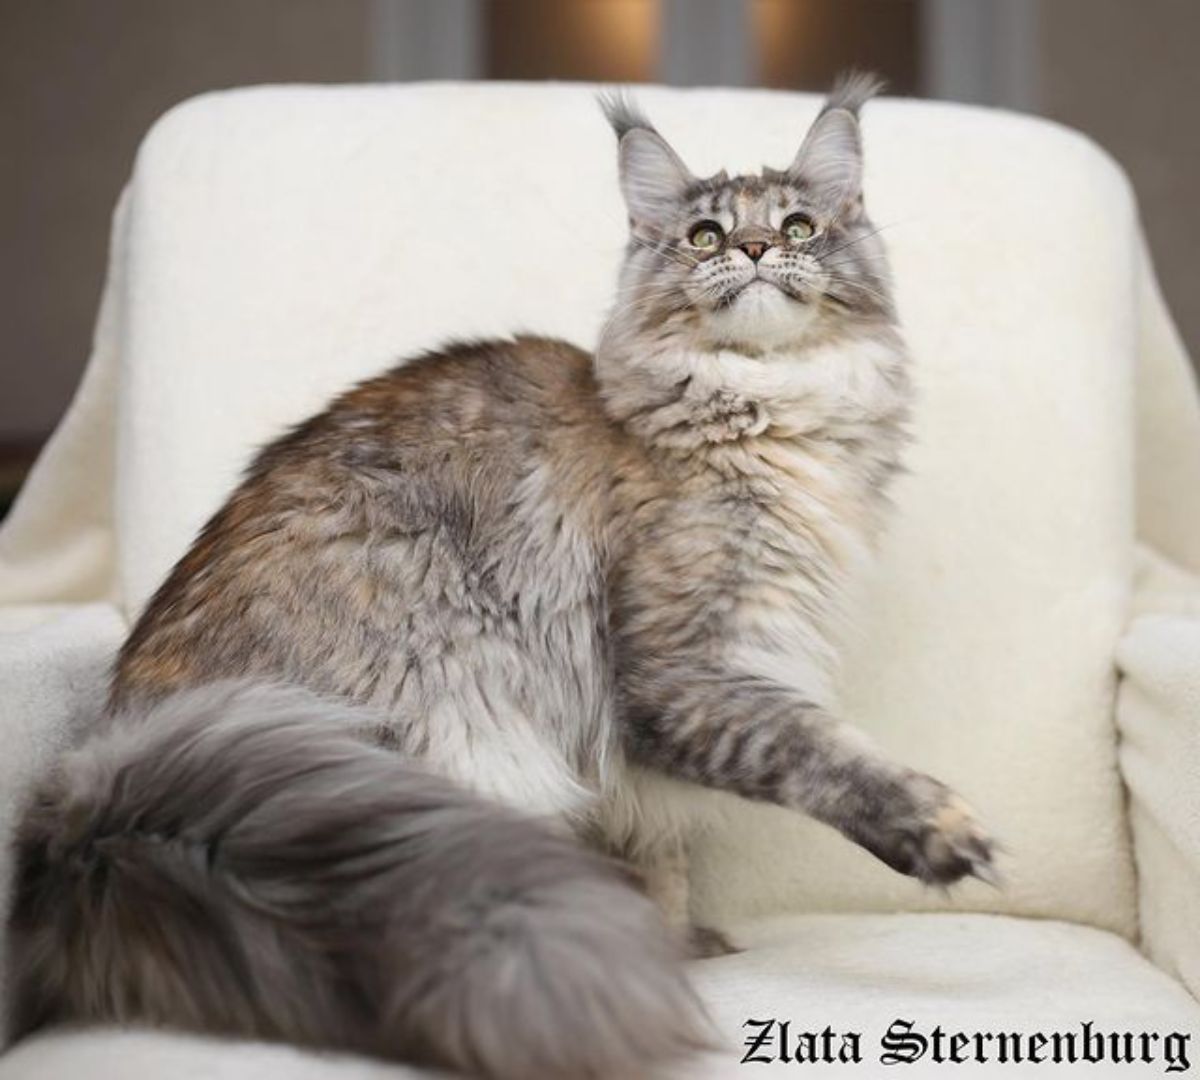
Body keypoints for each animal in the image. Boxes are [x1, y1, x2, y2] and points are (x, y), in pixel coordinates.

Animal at [9, 75, 993, 1080]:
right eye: (705, 237)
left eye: (797, 226)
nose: (755, 250)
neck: (769, 414)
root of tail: (107, 791)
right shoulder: (680, 675)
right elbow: (814, 753)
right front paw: (938, 832)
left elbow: (668, 860)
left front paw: (679, 942)